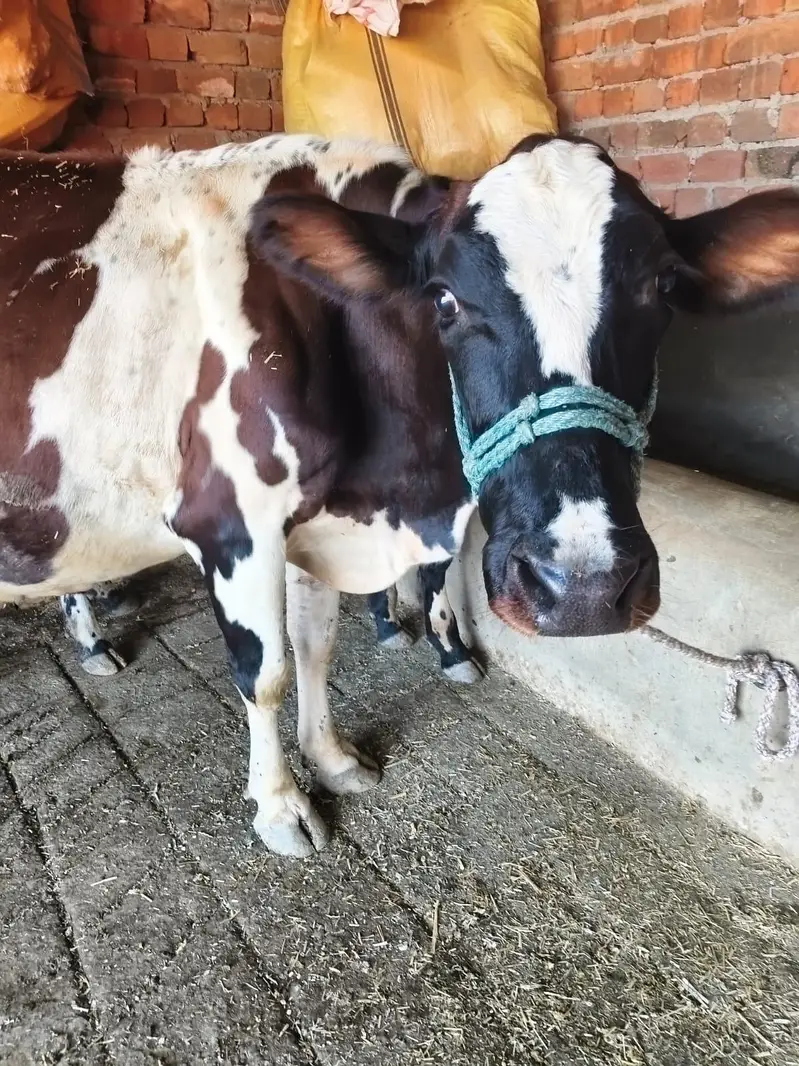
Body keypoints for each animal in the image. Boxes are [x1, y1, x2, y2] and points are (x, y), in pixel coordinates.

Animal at [2, 133, 797, 858]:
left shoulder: (319, 522)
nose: (582, 586)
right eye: (444, 299)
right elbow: (264, 673)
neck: (392, 490)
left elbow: (315, 644)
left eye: (663, 287)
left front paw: (331, 758)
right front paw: (281, 807)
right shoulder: (231, 523)